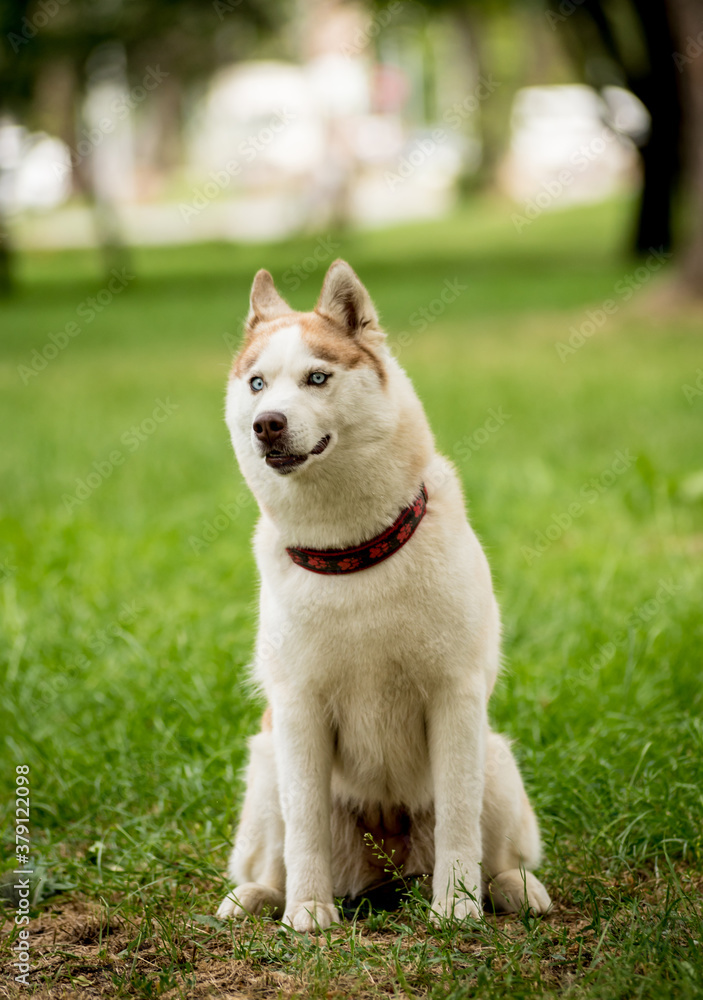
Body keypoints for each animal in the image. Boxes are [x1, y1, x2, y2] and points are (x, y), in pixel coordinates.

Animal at [216, 260, 552, 928]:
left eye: (317, 378)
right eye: (258, 384)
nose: (268, 424)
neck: (353, 552)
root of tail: (388, 865)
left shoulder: (455, 697)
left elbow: (458, 822)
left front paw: (456, 909)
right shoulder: (297, 710)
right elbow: (305, 827)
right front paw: (308, 913)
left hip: (496, 761)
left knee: (498, 853)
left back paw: (511, 889)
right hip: (265, 766)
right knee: (272, 856)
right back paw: (259, 897)